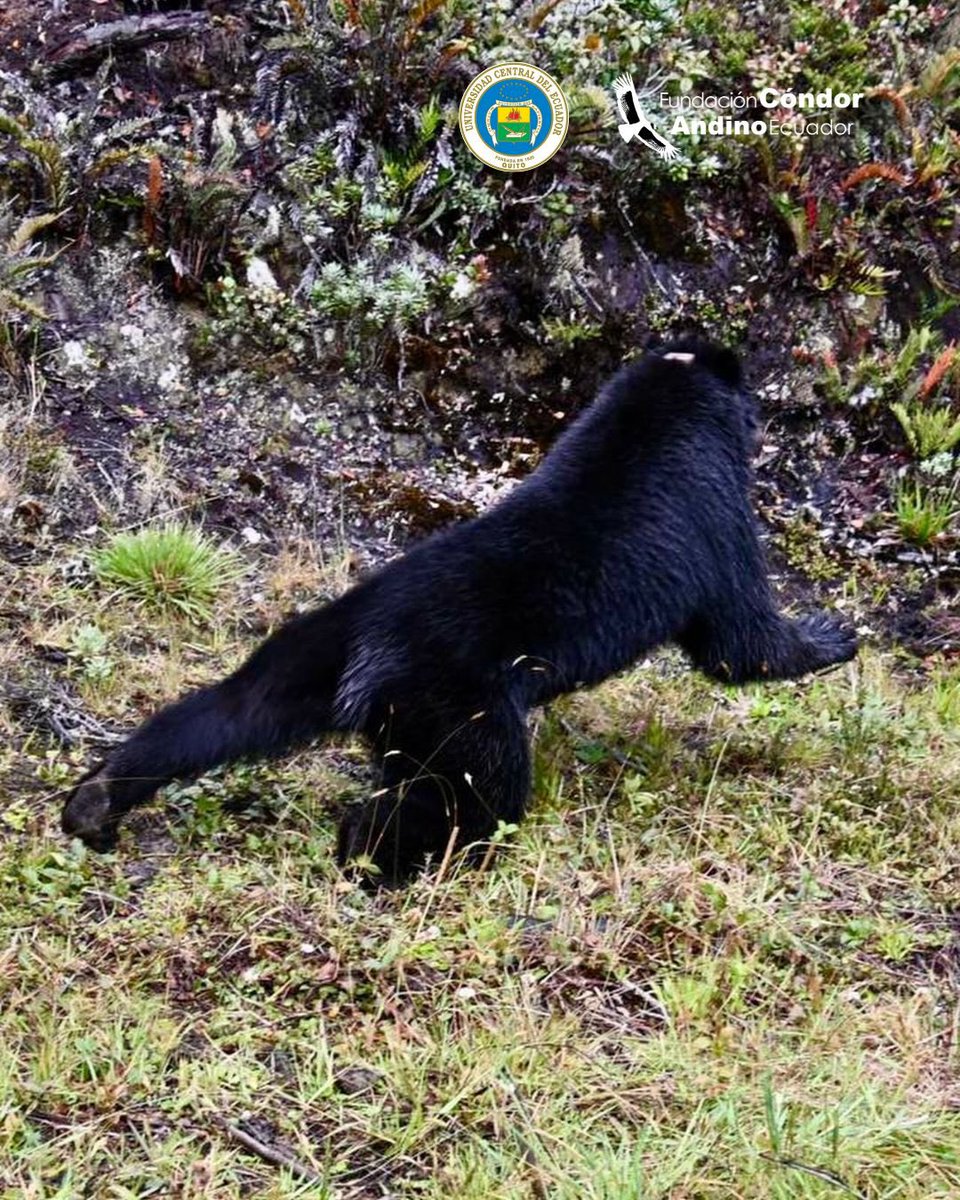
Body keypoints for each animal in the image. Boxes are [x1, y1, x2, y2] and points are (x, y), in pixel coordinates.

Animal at [62, 339, 857, 880]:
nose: (767, 422)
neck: (660, 415)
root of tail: (365, 645)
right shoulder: (714, 524)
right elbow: (740, 639)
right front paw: (836, 635)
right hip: (456, 705)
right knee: (469, 792)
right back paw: (375, 861)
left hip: (300, 663)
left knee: (216, 716)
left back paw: (94, 803)